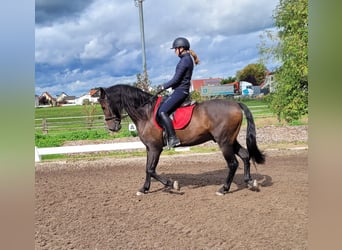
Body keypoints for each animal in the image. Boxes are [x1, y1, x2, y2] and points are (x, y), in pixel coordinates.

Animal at [97, 84, 266, 195]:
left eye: (104, 106)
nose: (112, 127)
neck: (145, 113)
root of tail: (236, 103)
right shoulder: (149, 148)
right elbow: (147, 168)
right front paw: (144, 189)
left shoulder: (155, 148)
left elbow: (151, 169)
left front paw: (172, 184)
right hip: (230, 140)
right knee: (245, 155)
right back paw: (250, 182)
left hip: (224, 142)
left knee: (233, 163)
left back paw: (224, 189)